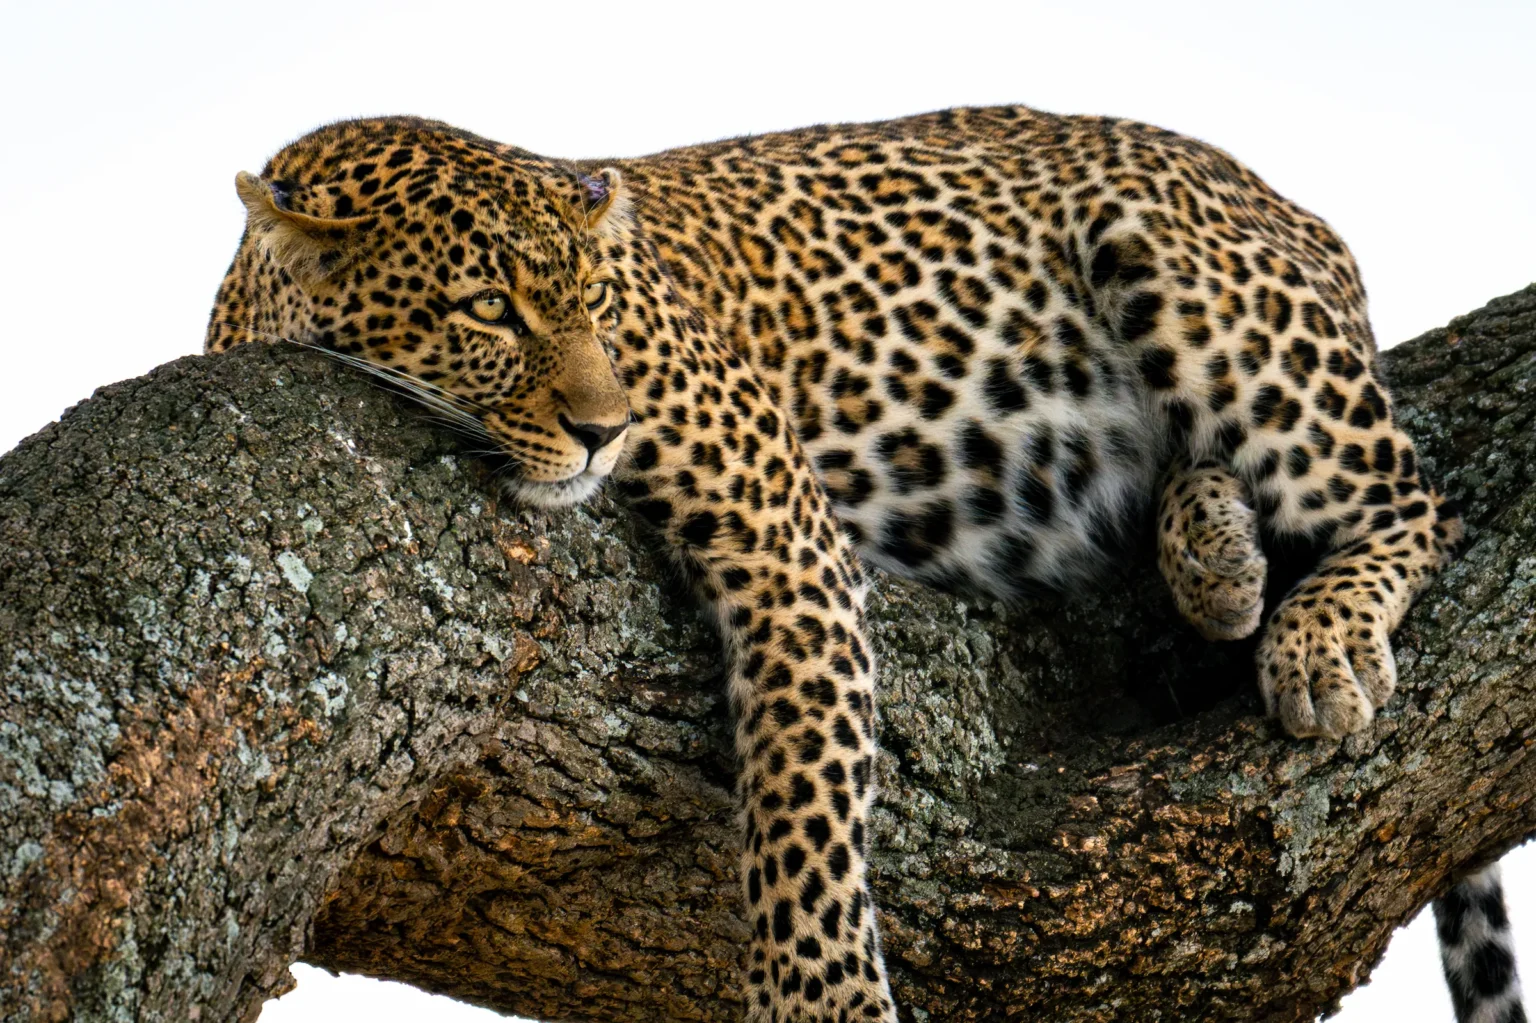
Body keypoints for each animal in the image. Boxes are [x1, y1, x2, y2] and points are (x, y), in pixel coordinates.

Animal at [206, 106, 1480, 1023]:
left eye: (604, 305)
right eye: (487, 310)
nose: (605, 429)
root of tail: (1295, 209)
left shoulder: (778, 518)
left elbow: (804, 804)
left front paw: (824, 1000)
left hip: (1191, 277)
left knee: (1422, 504)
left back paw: (1316, 641)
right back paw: (1214, 557)